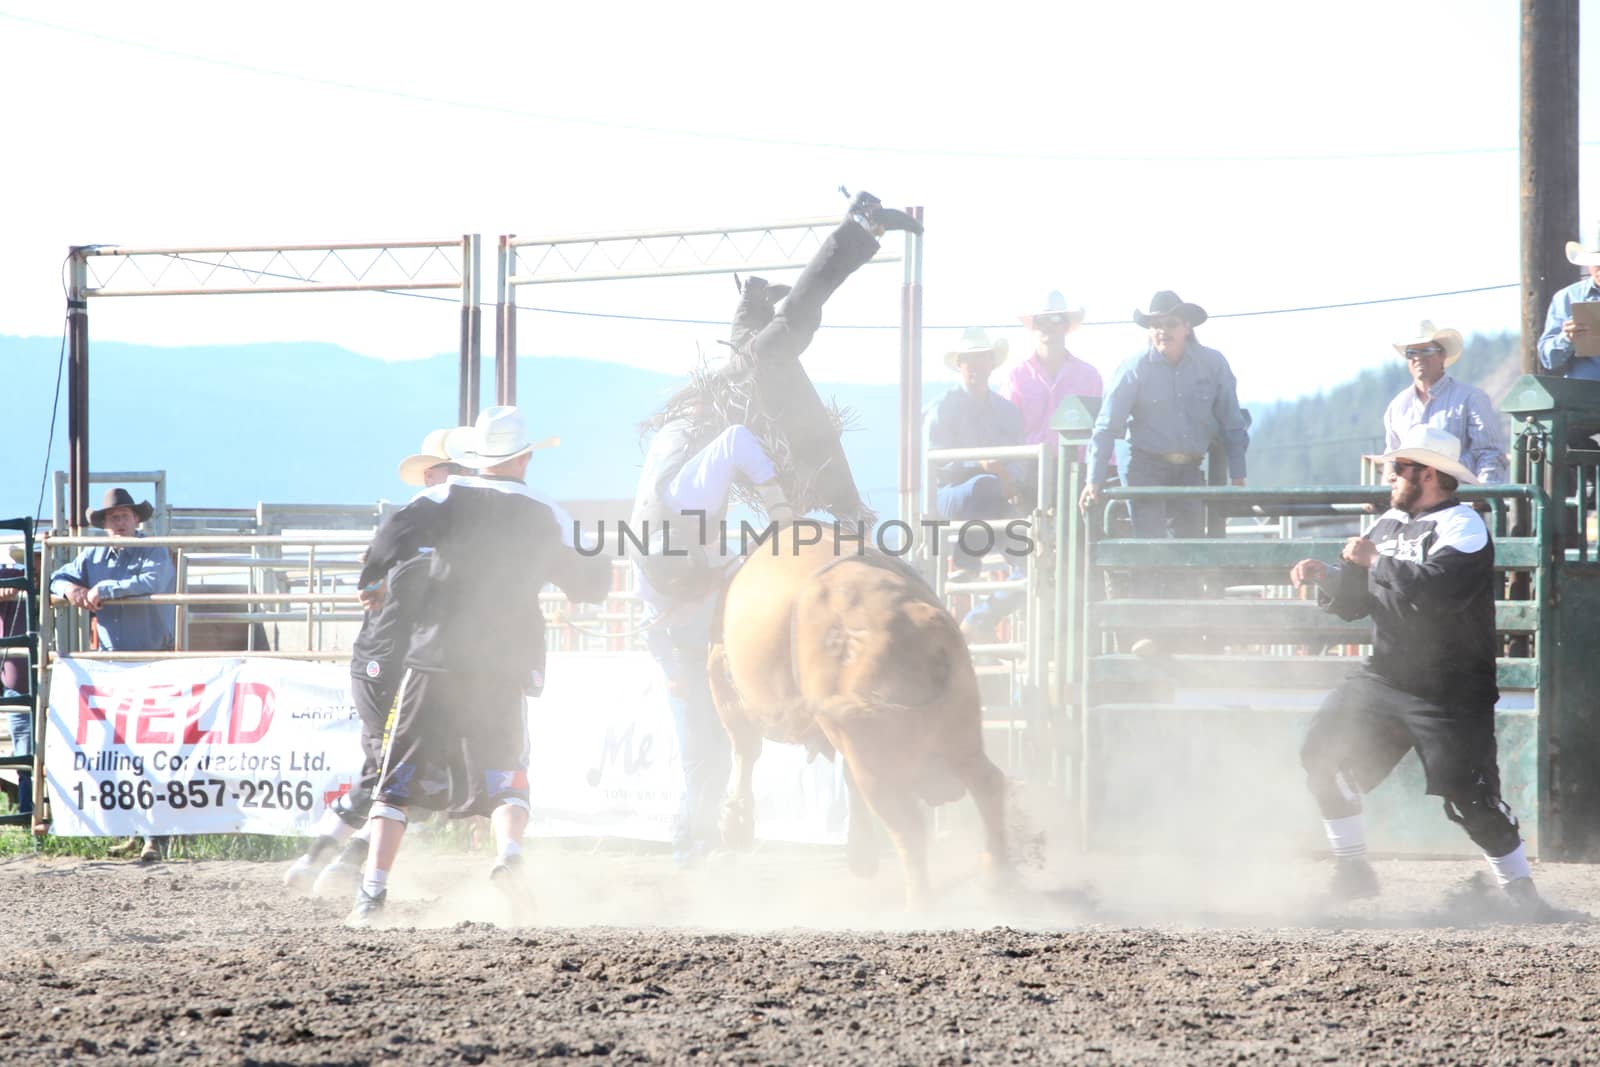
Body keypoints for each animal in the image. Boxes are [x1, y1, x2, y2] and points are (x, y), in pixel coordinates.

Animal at [704, 537, 1004, 908]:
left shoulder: (722, 675)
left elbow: (745, 748)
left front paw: (735, 822)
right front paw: (861, 852)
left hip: (877, 756)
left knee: (908, 824)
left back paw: (919, 904)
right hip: (958, 726)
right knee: (988, 784)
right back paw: (1001, 880)